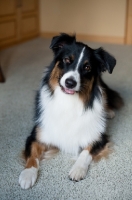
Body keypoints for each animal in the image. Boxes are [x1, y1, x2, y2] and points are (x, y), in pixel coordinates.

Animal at [18, 33, 124, 189]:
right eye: (67, 60)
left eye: (87, 67)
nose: (70, 83)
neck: (68, 101)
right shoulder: (36, 134)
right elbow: (32, 154)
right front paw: (27, 174)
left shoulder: (99, 137)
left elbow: (85, 152)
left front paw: (77, 169)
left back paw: (108, 112)